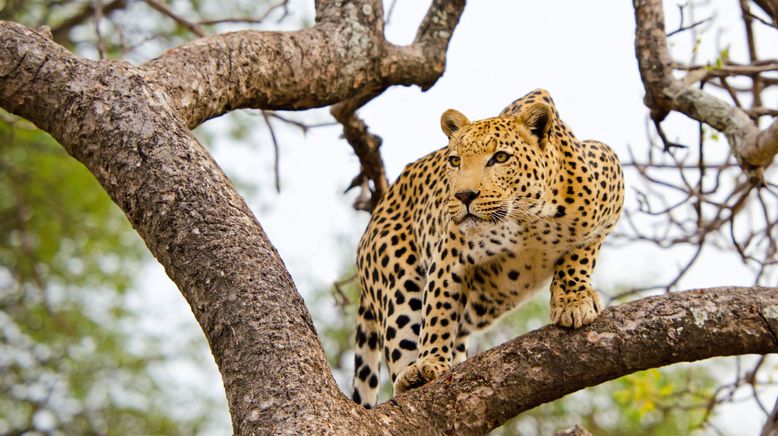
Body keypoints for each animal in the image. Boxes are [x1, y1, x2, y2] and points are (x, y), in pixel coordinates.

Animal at [352, 89, 624, 408]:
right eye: (455, 161)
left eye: (500, 157)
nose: (463, 195)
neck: (529, 220)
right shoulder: (450, 255)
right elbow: (438, 309)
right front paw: (430, 361)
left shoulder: (609, 173)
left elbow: (581, 250)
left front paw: (573, 300)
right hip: (398, 279)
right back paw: (412, 375)